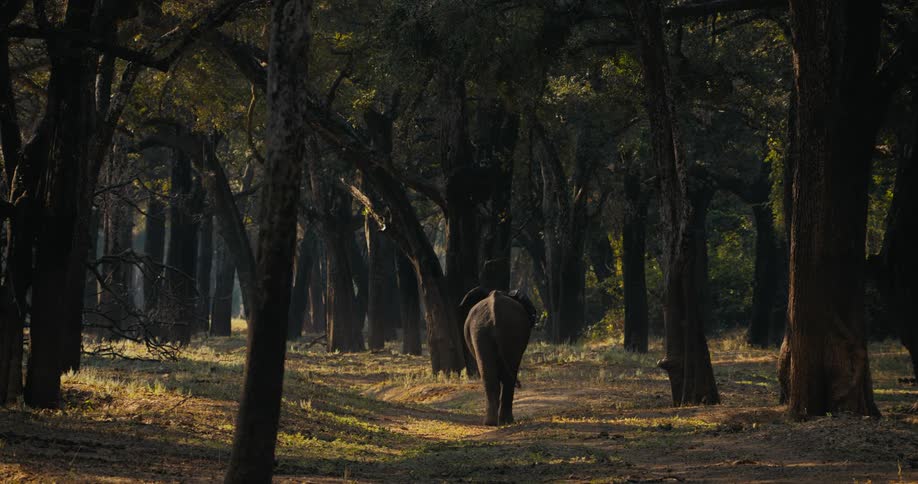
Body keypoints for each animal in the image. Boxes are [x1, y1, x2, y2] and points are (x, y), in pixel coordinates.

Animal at [460, 287, 537, 426]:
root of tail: (494, 312)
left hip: (486, 331)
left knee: (493, 376)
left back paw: (494, 422)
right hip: (494, 330)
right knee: (505, 375)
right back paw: (500, 422)